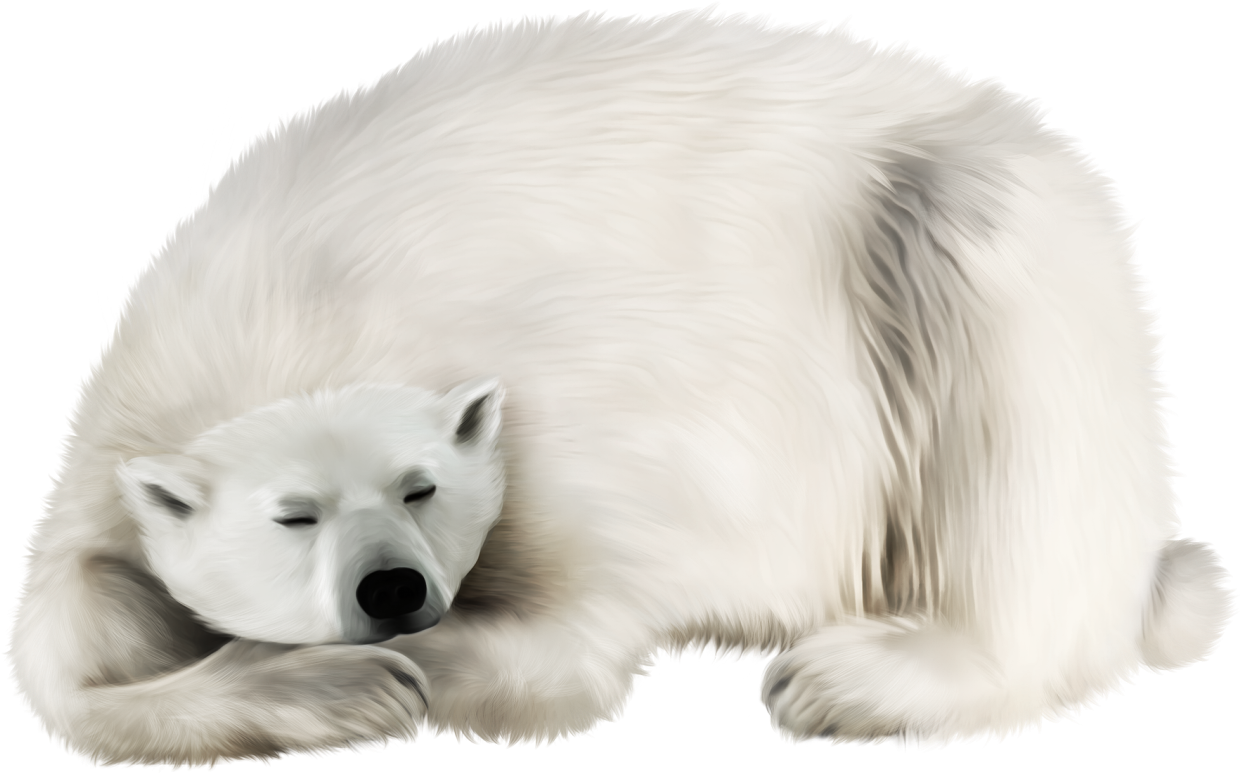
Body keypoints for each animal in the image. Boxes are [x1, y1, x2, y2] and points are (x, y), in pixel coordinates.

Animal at [8, 4, 1235, 768]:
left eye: (421, 487)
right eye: (291, 515)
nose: (391, 589)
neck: (284, 321)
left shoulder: (578, 444)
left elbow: (571, 650)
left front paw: (388, 676)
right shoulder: (107, 459)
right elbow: (61, 650)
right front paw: (298, 685)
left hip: (976, 248)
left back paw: (858, 676)